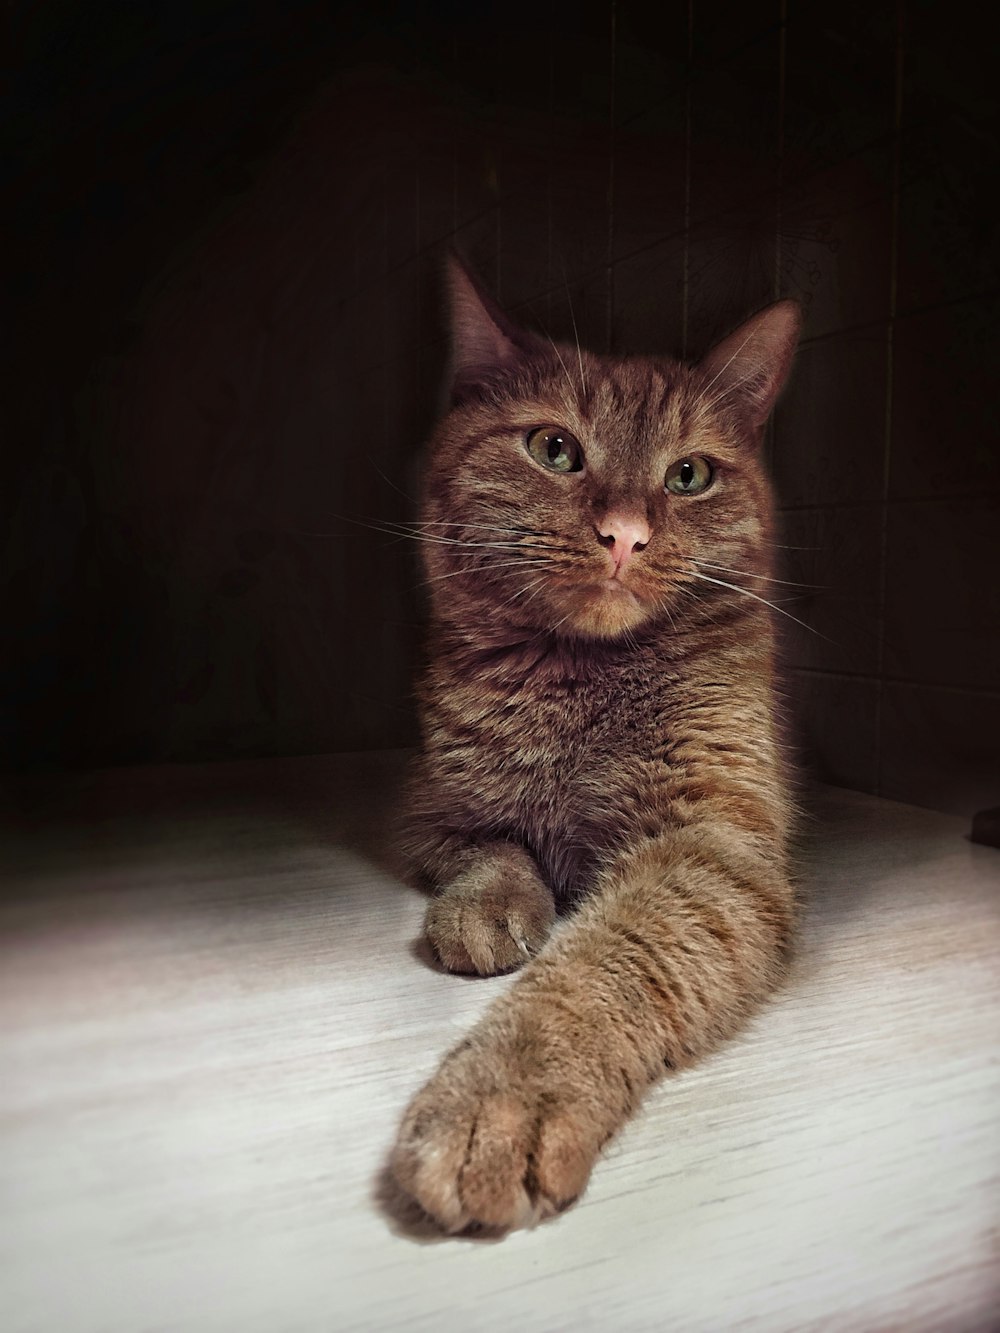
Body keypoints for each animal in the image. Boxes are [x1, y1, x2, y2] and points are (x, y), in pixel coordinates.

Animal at [389, 254, 800, 1231]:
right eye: (554, 450)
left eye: (689, 474)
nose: (625, 534)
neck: (584, 681)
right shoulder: (426, 809)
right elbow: (491, 846)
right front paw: (492, 902)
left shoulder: (713, 849)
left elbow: (601, 962)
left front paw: (501, 1093)